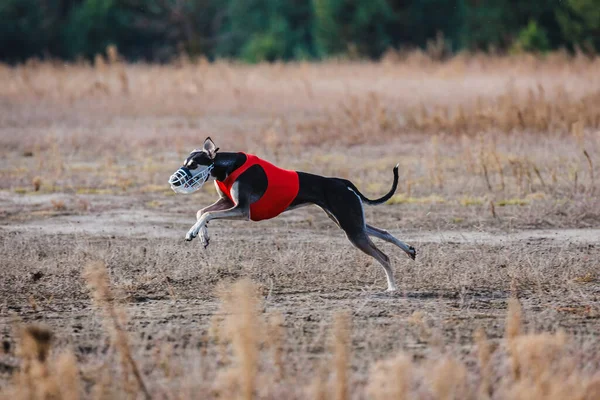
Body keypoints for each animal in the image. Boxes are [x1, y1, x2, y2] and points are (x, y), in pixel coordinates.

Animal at [166, 138, 414, 290]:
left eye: (193, 164)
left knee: (384, 256)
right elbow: (201, 212)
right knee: (383, 232)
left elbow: (206, 215)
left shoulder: (242, 210)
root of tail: (341, 182)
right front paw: (202, 235)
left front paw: (193, 233)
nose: (175, 181)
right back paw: (409, 250)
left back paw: (392, 287)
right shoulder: (227, 202)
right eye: (185, 162)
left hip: (351, 228)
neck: (227, 165)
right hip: (349, 220)